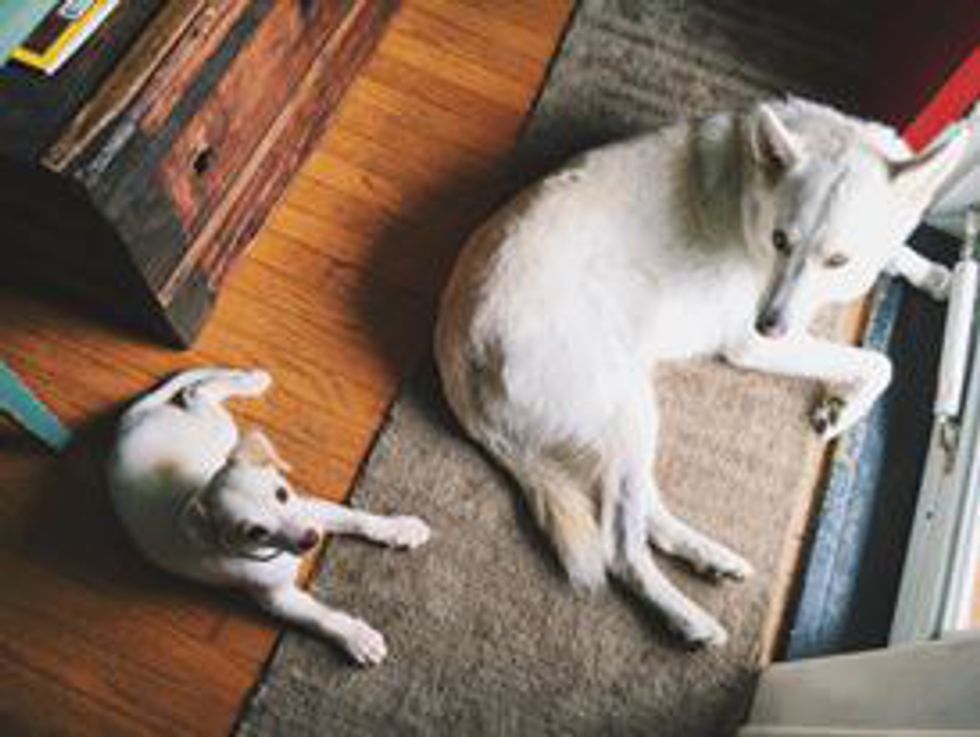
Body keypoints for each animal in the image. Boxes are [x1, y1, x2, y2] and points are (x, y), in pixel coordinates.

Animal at [107, 367, 431, 665]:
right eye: (255, 532)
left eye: (282, 494)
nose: (312, 540)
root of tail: (130, 423)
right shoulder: (277, 599)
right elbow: (320, 617)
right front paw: (357, 637)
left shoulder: (309, 510)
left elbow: (356, 518)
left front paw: (399, 528)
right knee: (195, 391)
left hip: (219, 435)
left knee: (195, 391)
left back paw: (251, 381)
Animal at [435, 98, 966, 646]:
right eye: (780, 240)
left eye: (837, 259)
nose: (768, 324)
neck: (752, 192)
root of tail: (459, 348)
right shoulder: (752, 345)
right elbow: (881, 363)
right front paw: (843, 408)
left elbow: (896, 255)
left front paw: (940, 276)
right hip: (625, 413)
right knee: (619, 547)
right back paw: (688, 617)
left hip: (623, 415)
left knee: (639, 514)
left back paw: (708, 558)